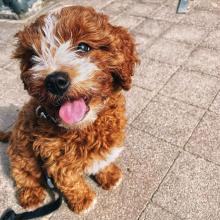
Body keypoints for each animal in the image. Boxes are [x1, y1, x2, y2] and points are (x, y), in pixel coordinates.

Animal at [0, 5, 138, 214]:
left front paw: (108, 175)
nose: (55, 81)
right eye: (33, 58)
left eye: (83, 47)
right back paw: (31, 195)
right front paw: (83, 200)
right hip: (21, 154)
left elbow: (103, 160)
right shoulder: (55, 159)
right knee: (24, 175)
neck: (85, 127)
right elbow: (70, 180)